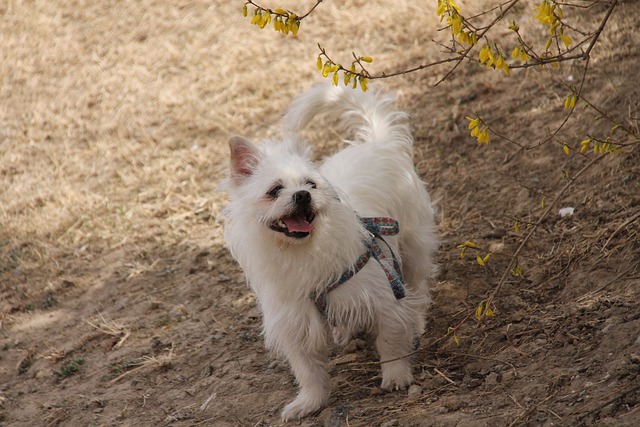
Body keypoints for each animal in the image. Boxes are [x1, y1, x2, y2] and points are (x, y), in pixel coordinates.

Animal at [222, 83, 438, 422]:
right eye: (274, 191)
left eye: (310, 184)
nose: (302, 195)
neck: (304, 251)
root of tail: (375, 144)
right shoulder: (295, 322)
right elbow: (308, 371)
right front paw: (309, 402)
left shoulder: (383, 297)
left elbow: (390, 341)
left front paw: (396, 375)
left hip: (414, 248)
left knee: (417, 287)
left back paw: (416, 321)